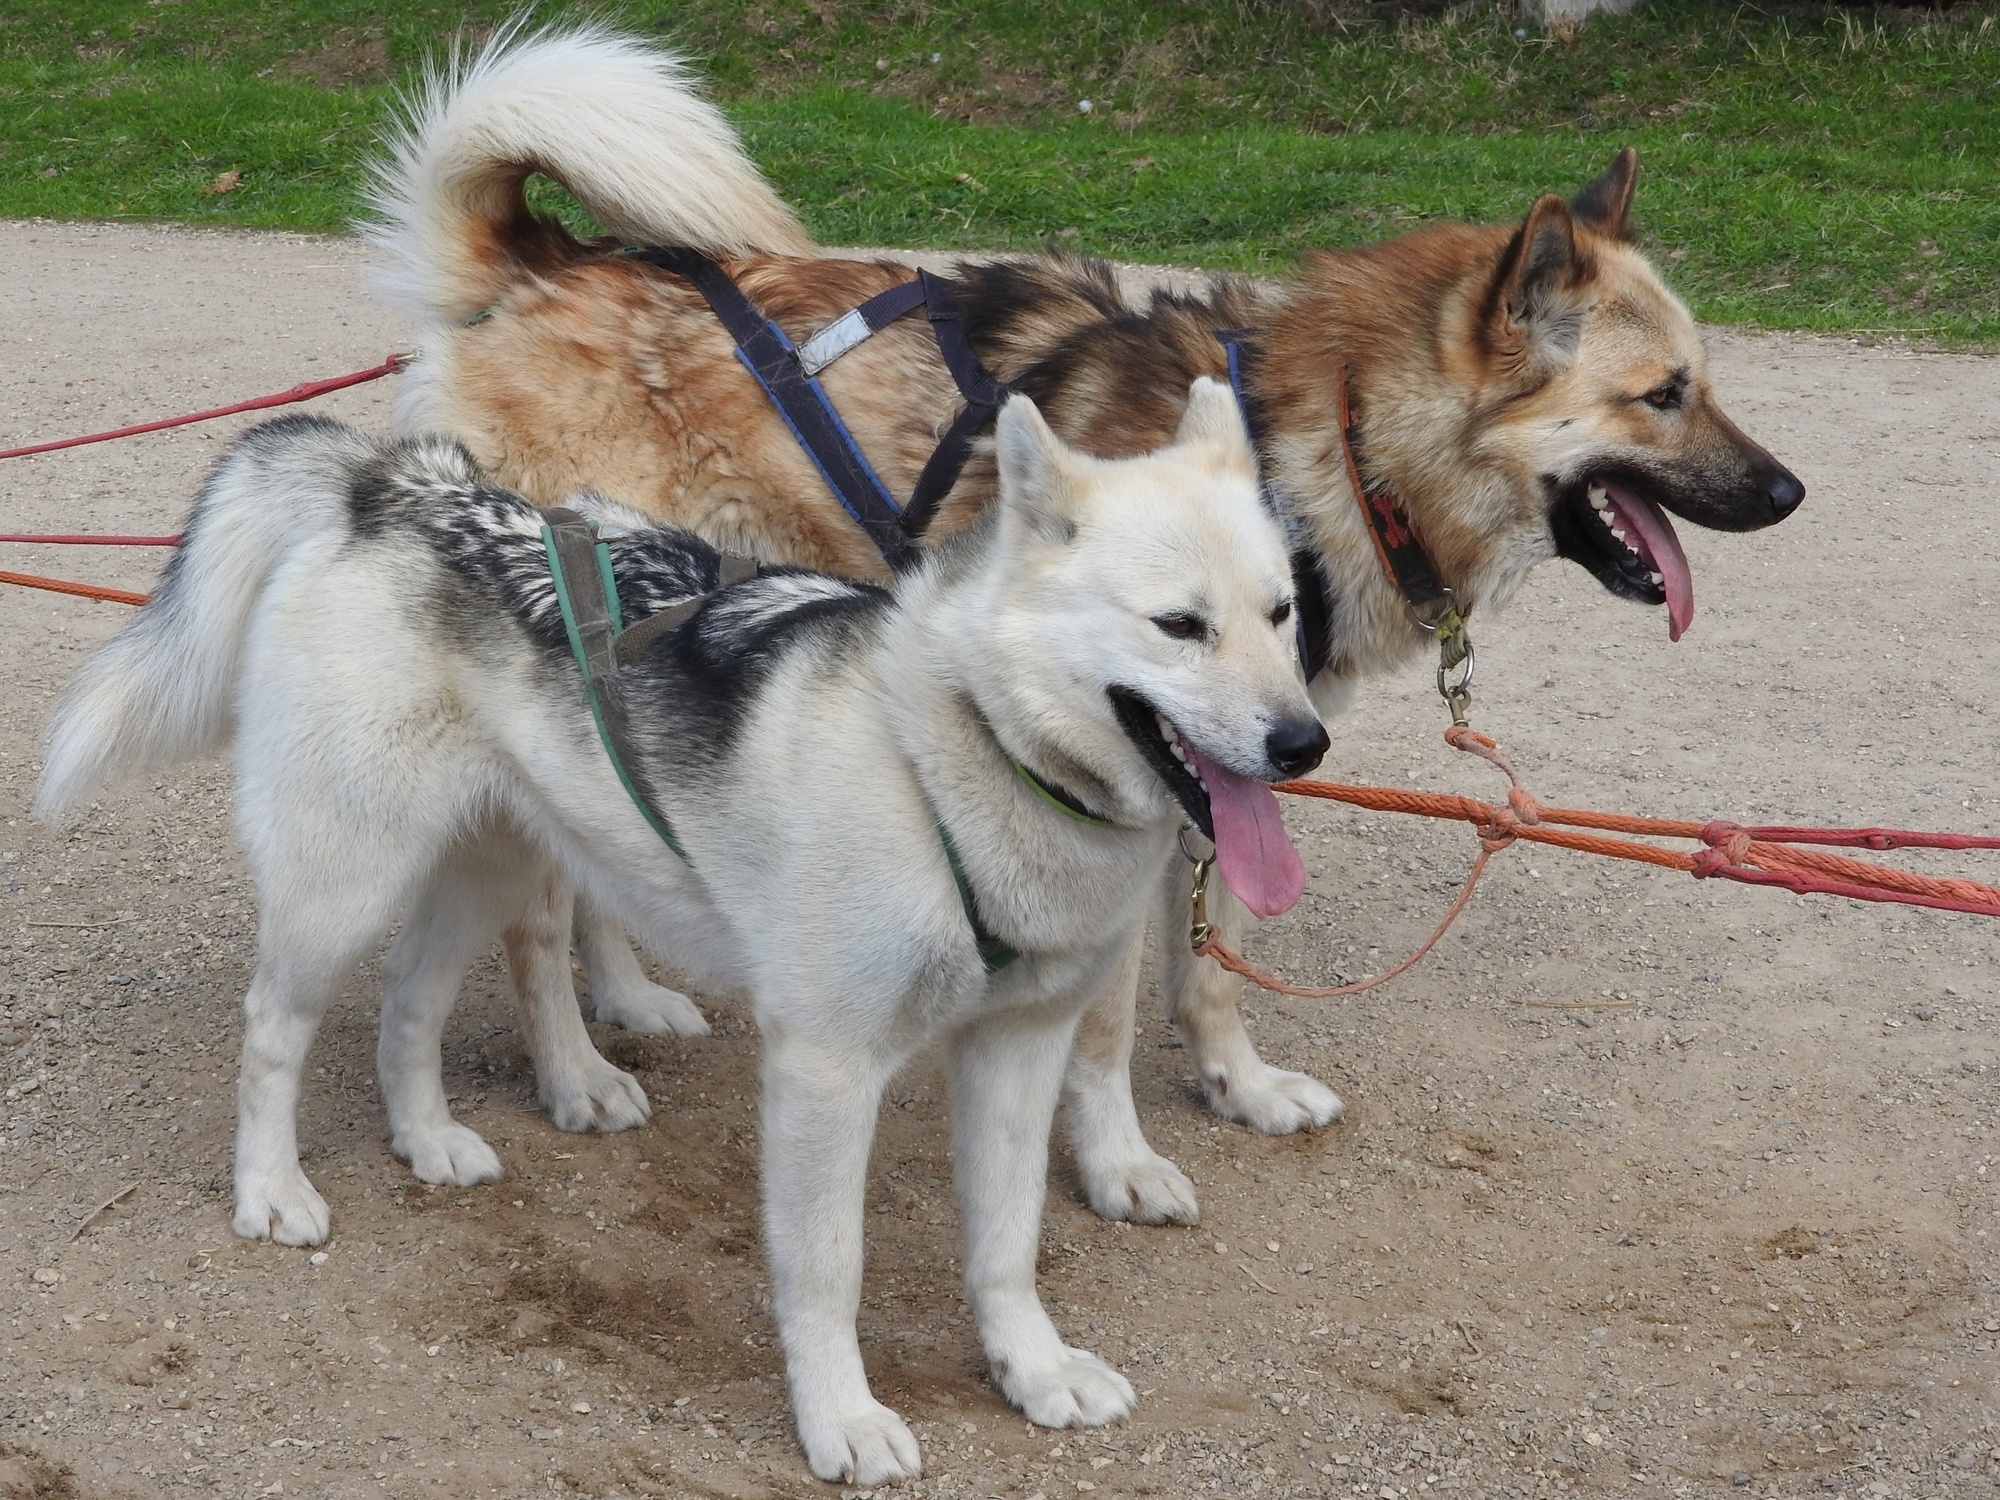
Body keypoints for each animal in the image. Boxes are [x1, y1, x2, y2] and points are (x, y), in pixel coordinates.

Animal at [31, 382, 1328, 1488]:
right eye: (1179, 626)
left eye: (1281, 615)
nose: (1303, 743)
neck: (958, 751)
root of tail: (400, 484)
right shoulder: (825, 1071)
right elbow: (826, 1270)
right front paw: (840, 1418)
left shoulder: (1019, 1048)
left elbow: (1004, 1243)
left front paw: (1032, 1368)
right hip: (339, 887)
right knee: (273, 1032)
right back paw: (269, 1189)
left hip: (484, 869)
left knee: (410, 1006)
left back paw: (427, 1138)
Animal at [368, 23, 1808, 1224]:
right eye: (1662, 394)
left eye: (1705, 381)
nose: (1792, 493)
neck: (1328, 438)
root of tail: (538, 266)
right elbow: (1108, 1028)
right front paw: (1115, 1161)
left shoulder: (1226, 764)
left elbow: (1215, 961)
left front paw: (1237, 1084)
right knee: (537, 911)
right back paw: (578, 1066)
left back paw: (629, 994)